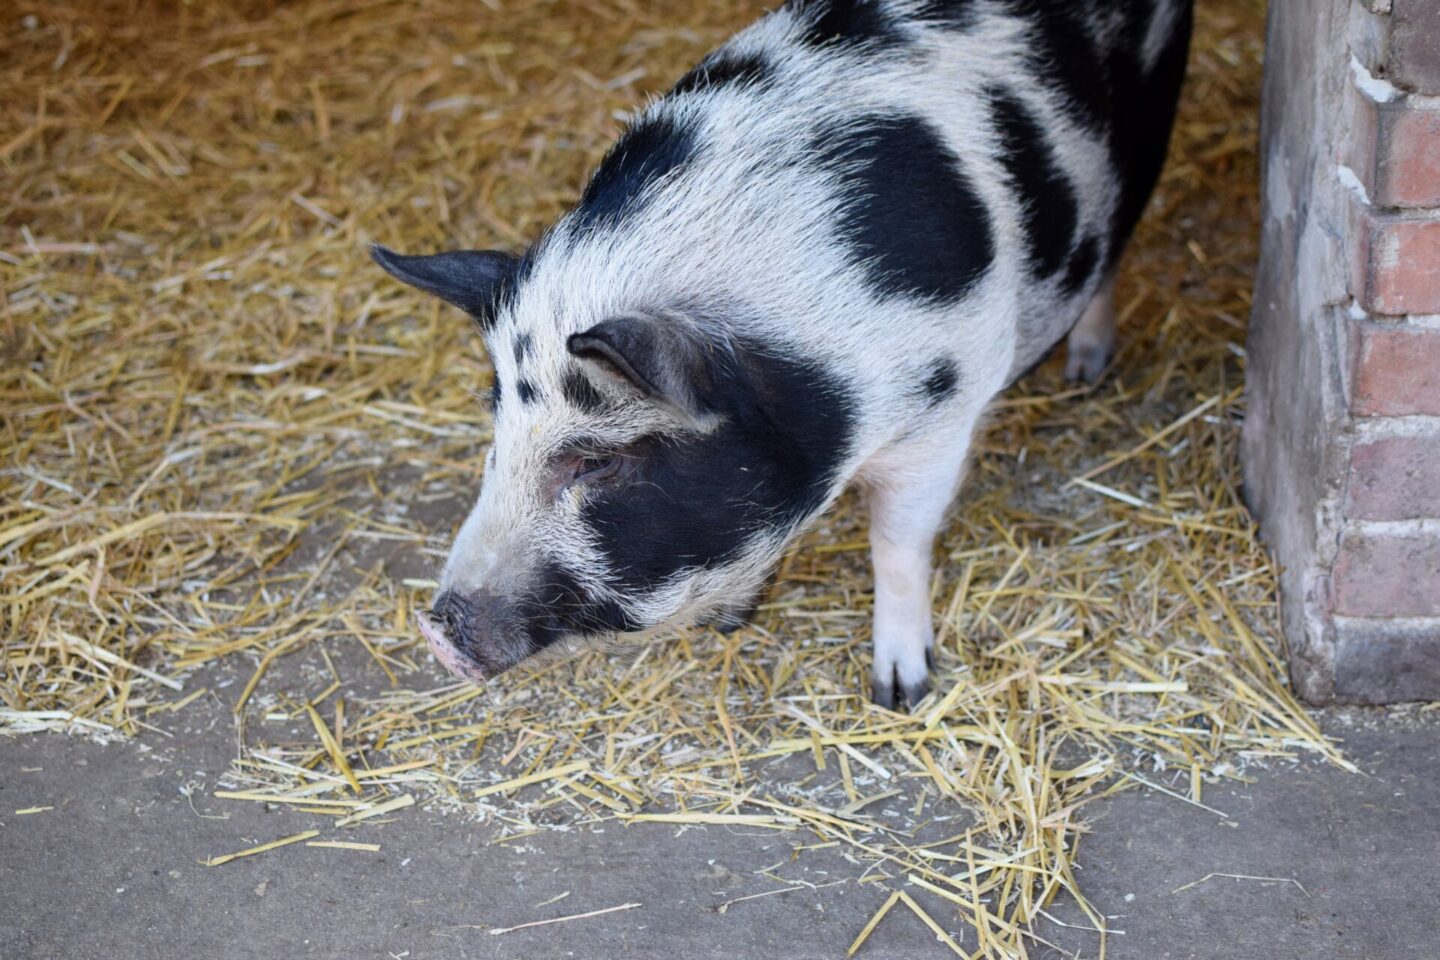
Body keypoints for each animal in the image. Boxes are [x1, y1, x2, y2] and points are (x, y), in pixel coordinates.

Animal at [376, 0, 1193, 709]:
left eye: (597, 461)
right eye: (498, 430)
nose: (436, 630)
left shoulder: (944, 411)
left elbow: (898, 543)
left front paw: (900, 692)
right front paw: (731, 620)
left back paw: (1087, 370)